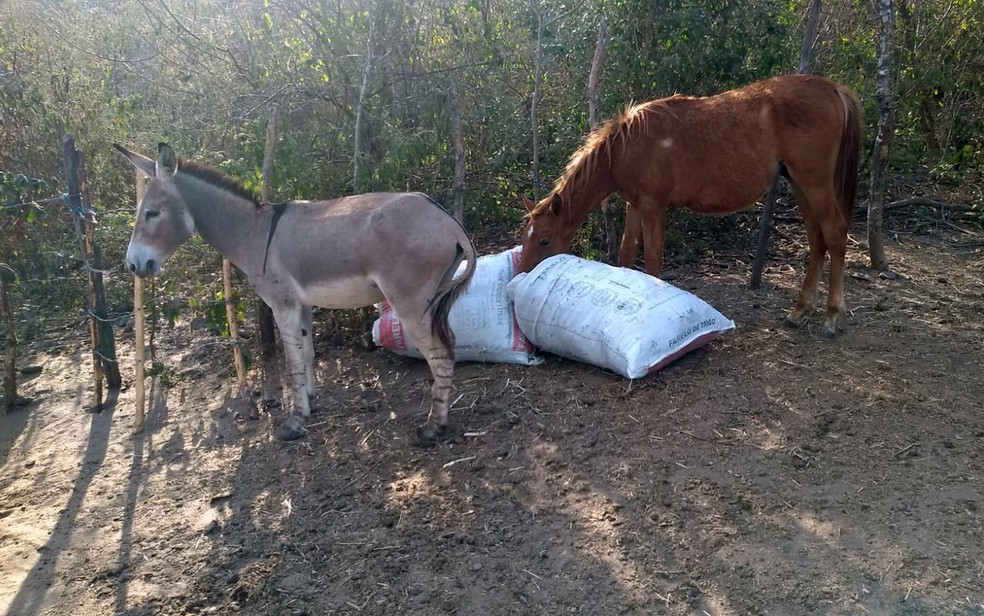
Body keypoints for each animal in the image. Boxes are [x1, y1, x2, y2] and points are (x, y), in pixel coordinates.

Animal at [115, 143, 476, 446]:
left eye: (151, 213)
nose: (132, 265)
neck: (253, 232)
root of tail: (449, 222)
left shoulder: (282, 304)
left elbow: (291, 361)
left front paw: (295, 421)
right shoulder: (302, 303)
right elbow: (307, 354)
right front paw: (311, 400)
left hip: (410, 302)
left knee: (441, 354)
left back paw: (433, 427)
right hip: (433, 297)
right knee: (447, 347)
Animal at [524, 76, 860, 342]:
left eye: (544, 240)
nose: (524, 274)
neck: (627, 146)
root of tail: (833, 89)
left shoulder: (653, 206)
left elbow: (653, 262)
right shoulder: (636, 206)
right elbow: (626, 256)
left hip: (814, 183)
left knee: (834, 234)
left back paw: (832, 316)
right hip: (800, 184)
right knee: (816, 239)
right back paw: (800, 311)